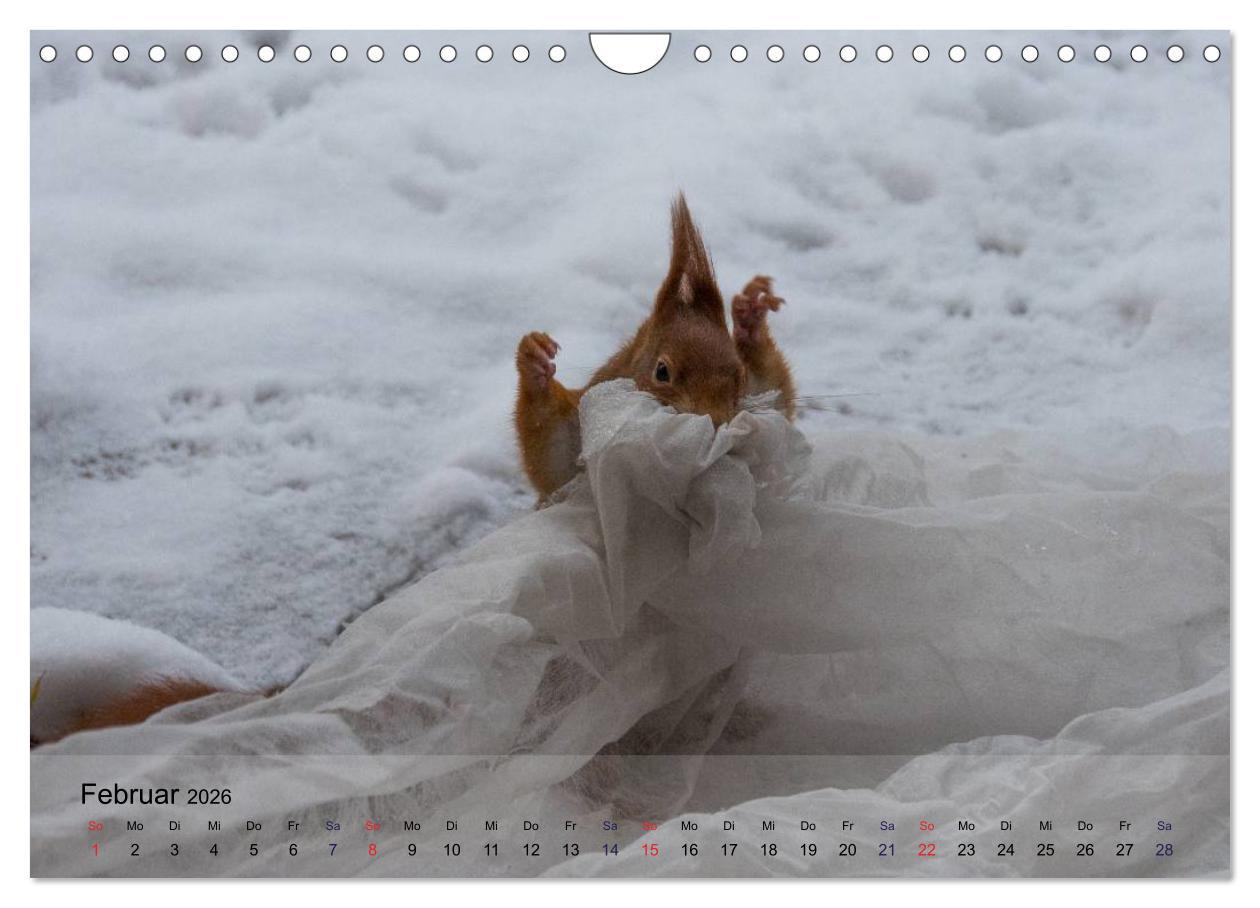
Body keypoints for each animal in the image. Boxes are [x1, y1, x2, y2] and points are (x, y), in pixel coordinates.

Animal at [515, 193, 796, 499]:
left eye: (742, 376)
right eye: (661, 372)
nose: (715, 420)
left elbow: (778, 403)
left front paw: (751, 313)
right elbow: (554, 457)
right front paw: (535, 361)